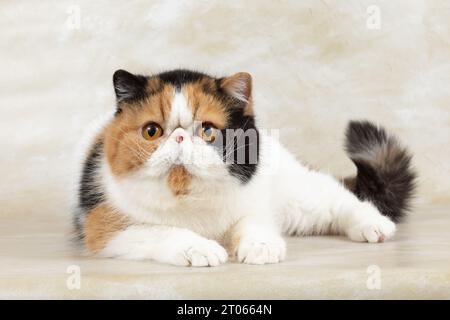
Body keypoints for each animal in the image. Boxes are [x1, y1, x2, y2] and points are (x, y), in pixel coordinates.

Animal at [73, 69, 414, 266]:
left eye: (208, 130)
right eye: (152, 131)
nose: (180, 137)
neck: (190, 197)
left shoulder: (254, 203)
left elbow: (253, 223)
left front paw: (261, 247)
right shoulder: (104, 225)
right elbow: (163, 231)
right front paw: (201, 248)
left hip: (299, 196)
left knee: (339, 199)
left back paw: (374, 225)